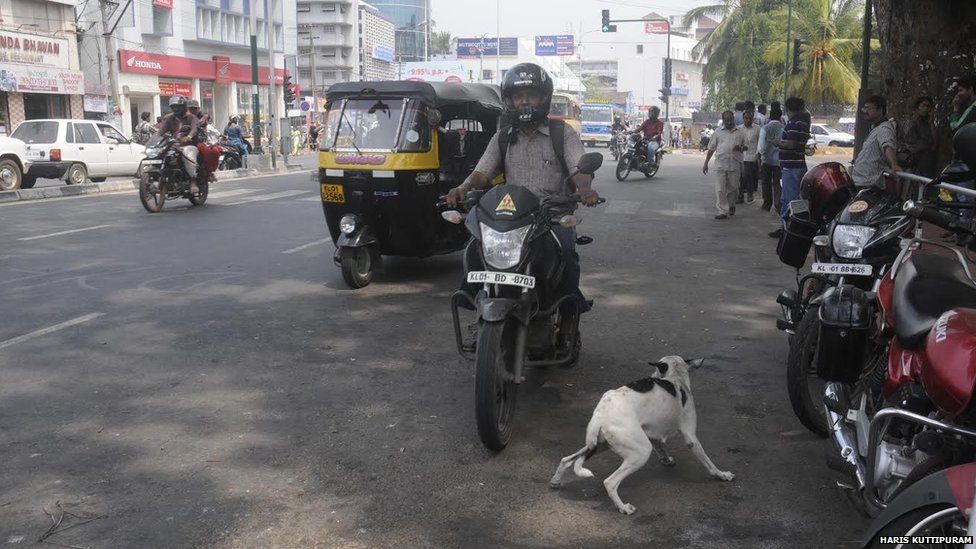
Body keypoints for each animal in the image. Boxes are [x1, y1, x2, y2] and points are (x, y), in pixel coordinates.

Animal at [548, 356, 732, 512]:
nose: (651, 375)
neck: (675, 379)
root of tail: (601, 414)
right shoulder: (691, 437)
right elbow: (708, 462)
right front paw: (721, 474)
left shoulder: (654, 435)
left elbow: (662, 447)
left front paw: (666, 459)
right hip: (640, 452)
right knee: (610, 482)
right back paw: (623, 507)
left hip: (598, 445)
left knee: (566, 459)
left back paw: (556, 480)